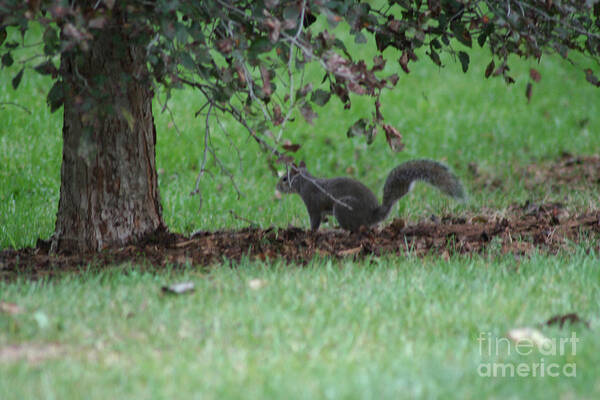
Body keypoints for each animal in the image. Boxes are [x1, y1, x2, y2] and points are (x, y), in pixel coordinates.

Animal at [274, 159, 466, 233]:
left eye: (284, 179)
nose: (276, 187)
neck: (304, 182)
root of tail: (372, 214)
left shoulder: (312, 203)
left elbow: (314, 221)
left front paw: (310, 231)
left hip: (342, 208)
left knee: (355, 229)